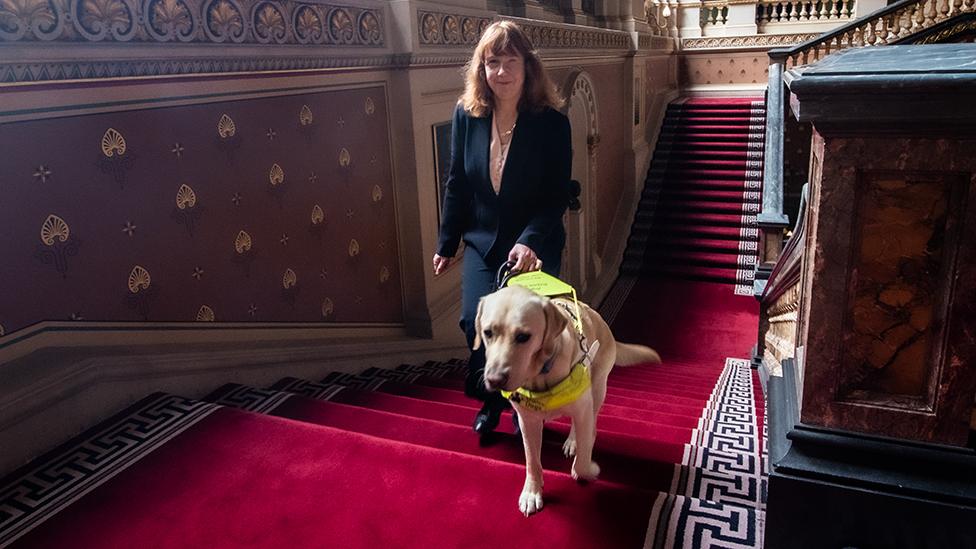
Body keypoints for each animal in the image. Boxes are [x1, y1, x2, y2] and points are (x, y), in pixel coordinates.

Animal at [474, 282, 664, 512]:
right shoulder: (528, 421)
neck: (542, 373)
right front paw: (532, 491)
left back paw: (577, 441)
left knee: (589, 421)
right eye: (487, 332)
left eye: (523, 337)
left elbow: (583, 461)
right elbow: (532, 461)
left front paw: (589, 469)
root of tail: (598, 318)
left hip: (597, 387)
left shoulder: (583, 406)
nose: (494, 379)